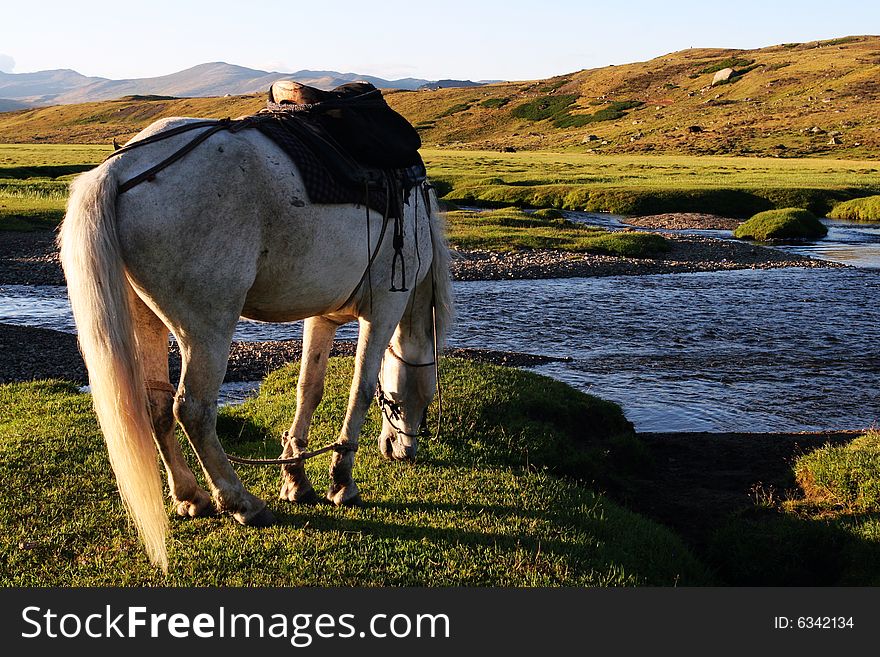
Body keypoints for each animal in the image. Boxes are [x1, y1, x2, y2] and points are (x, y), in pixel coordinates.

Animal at [57, 116, 454, 568]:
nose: (403, 450)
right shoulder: (385, 306)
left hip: (146, 321)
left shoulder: (322, 315)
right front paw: (342, 481)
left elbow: (309, 388)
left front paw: (296, 477)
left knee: (156, 405)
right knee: (193, 410)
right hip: (207, 328)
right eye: (422, 398)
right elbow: (362, 390)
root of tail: (121, 170)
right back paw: (240, 502)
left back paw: (191, 495)